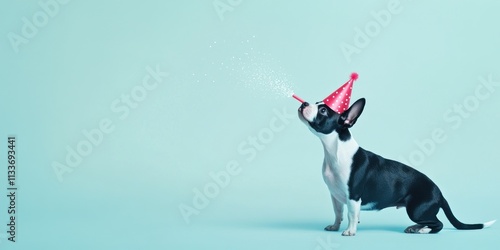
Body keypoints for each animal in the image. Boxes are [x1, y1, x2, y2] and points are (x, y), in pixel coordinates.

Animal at [298, 98, 494, 236]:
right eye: (317, 103)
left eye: (323, 110)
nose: (305, 103)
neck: (336, 150)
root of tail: (439, 193)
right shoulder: (336, 196)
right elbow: (338, 213)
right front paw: (335, 226)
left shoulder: (353, 196)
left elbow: (351, 214)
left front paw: (350, 231)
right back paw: (416, 228)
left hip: (416, 209)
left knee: (437, 224)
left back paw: (422, 230)